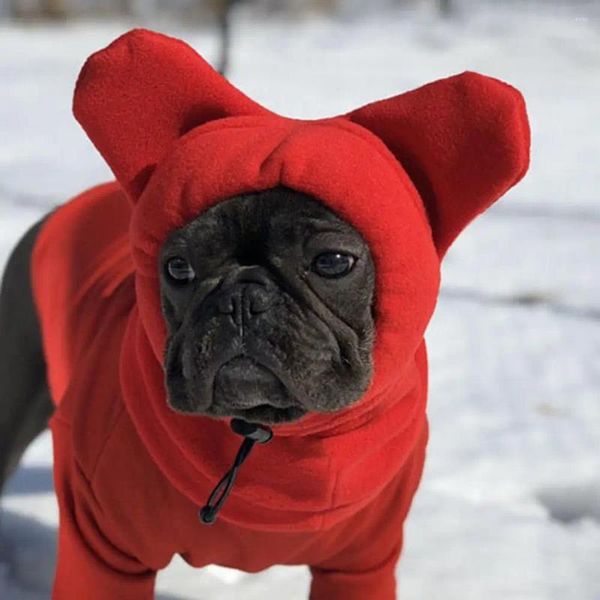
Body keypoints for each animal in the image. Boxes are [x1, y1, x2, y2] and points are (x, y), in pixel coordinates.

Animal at [0, 29, 528, 600]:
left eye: (332, 261)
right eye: (178, 268)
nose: (241, 298)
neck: (266, 436)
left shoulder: (361, 563)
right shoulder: (102, 550)